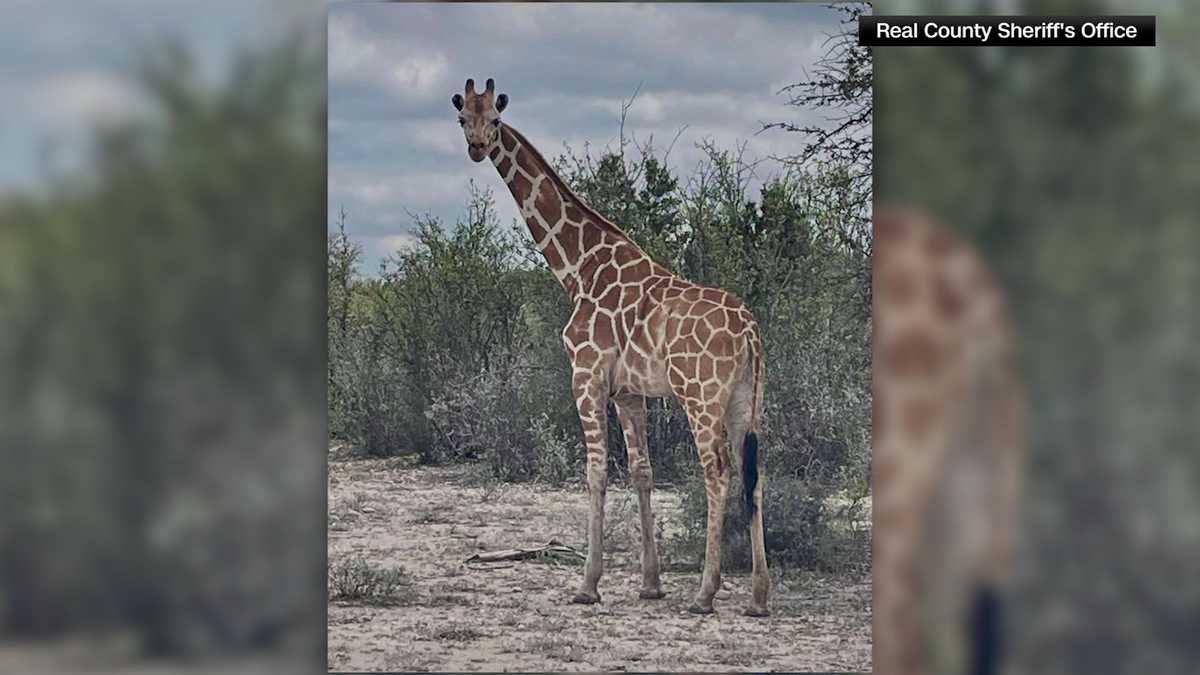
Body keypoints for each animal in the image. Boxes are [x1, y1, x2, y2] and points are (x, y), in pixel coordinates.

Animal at [451, 78, 770, 616]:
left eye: (494, 118)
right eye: (462, 118)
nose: (476, 147)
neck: (578, 268)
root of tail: (749, 330)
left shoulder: (586, 374)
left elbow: (596, 471)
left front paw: (587, 584)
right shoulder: (629, 391)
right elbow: (642, 472)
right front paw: (650, 583)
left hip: (700, 395)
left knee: (718, 472)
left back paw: (705, 593)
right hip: (747, 399)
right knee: (754, 473)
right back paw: (759, 596)